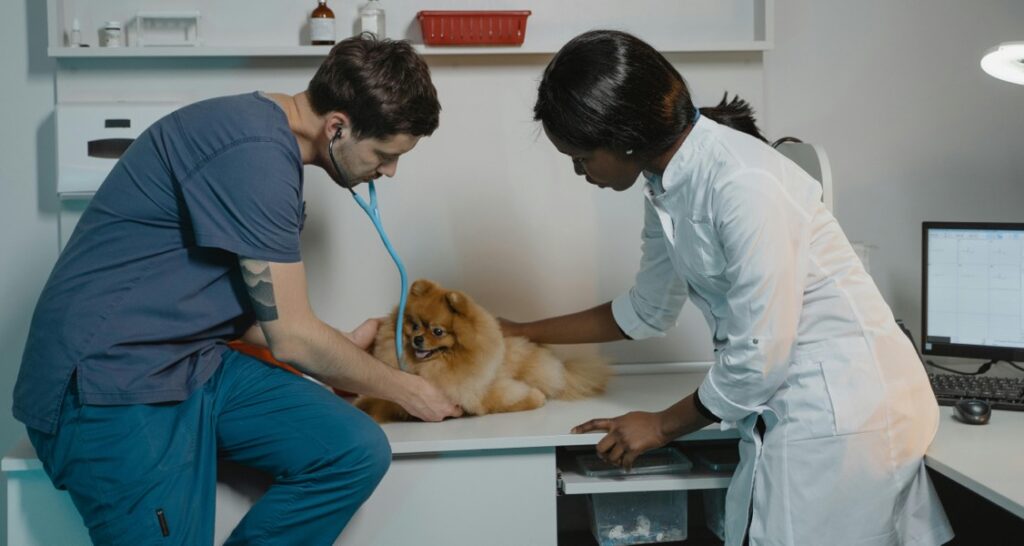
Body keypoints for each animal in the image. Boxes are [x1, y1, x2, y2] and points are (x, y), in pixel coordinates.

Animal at [354, 278, 606, 424]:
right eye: (414, 326)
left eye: (437, 331)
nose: (416, 339)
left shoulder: (480, 391)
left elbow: (502, 399)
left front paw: (536, 397)